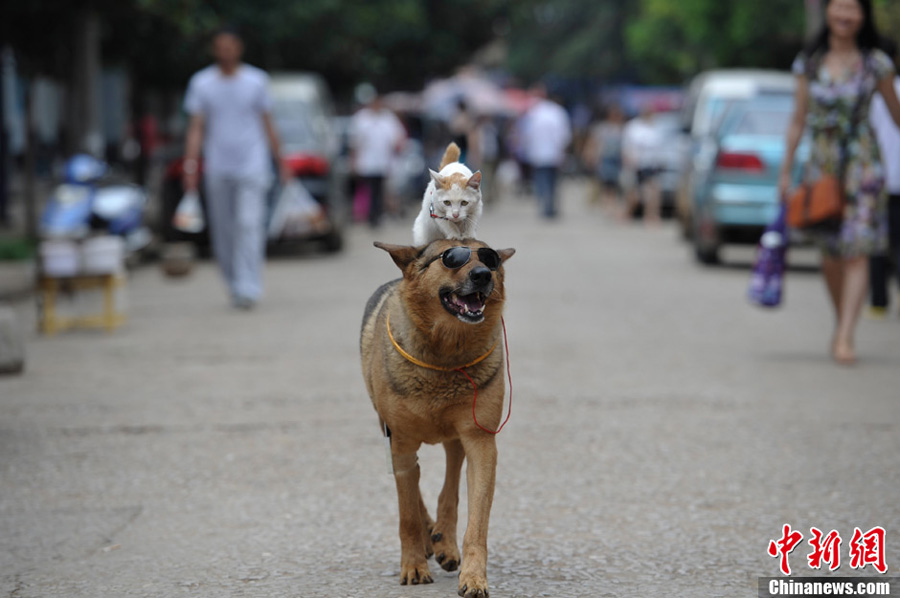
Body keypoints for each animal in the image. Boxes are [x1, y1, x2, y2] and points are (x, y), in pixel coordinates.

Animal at [358, 239, 512, 598]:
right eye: (450, 259)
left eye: (491, 259)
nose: (483, 274)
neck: (446, 354)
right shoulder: (399, 442)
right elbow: (407, 515)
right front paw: (414, 565)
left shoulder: (481, 441)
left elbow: (476, 521)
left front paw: (474, 576)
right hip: (390, 432)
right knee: (414, 490)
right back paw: (430, 538)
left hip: (456, 436)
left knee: (450, 483)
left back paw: (445, 541)